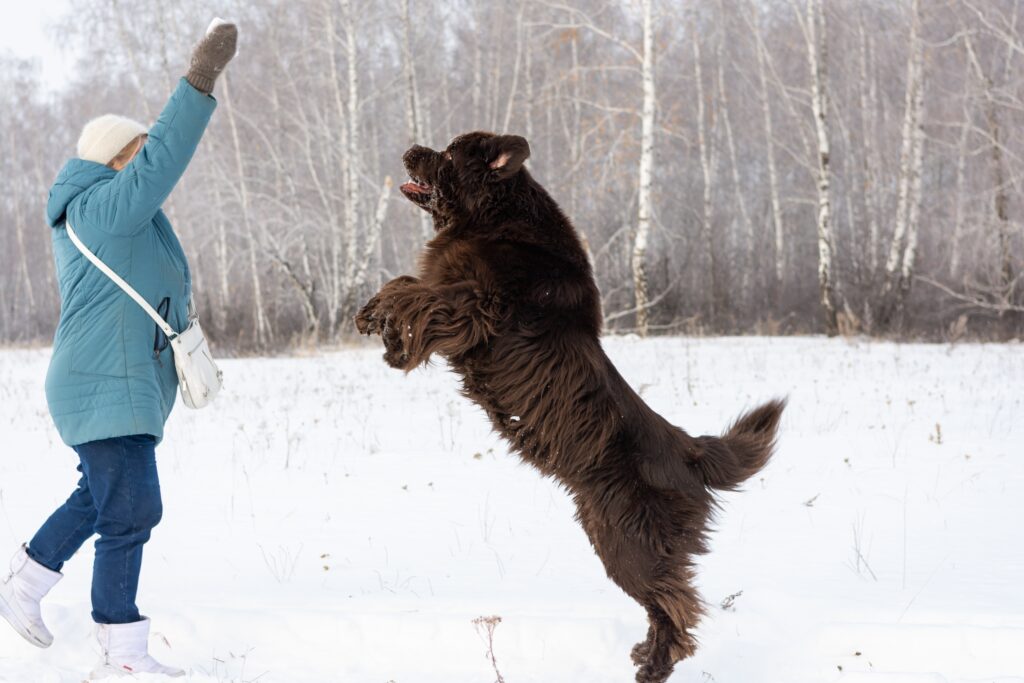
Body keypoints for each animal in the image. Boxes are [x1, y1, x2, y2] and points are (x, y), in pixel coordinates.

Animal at [354, 133, 782, 683]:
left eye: (448, 155)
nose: (411, 148)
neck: (494, 218)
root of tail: (689, 452)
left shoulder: (475, 305)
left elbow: (413, 293)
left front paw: (390, 335)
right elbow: (405, 284)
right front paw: (373, 320)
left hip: (630, 543)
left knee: (677, 605)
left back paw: (654, 666)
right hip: (610, 533)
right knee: (664, 601)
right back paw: (644, 654)